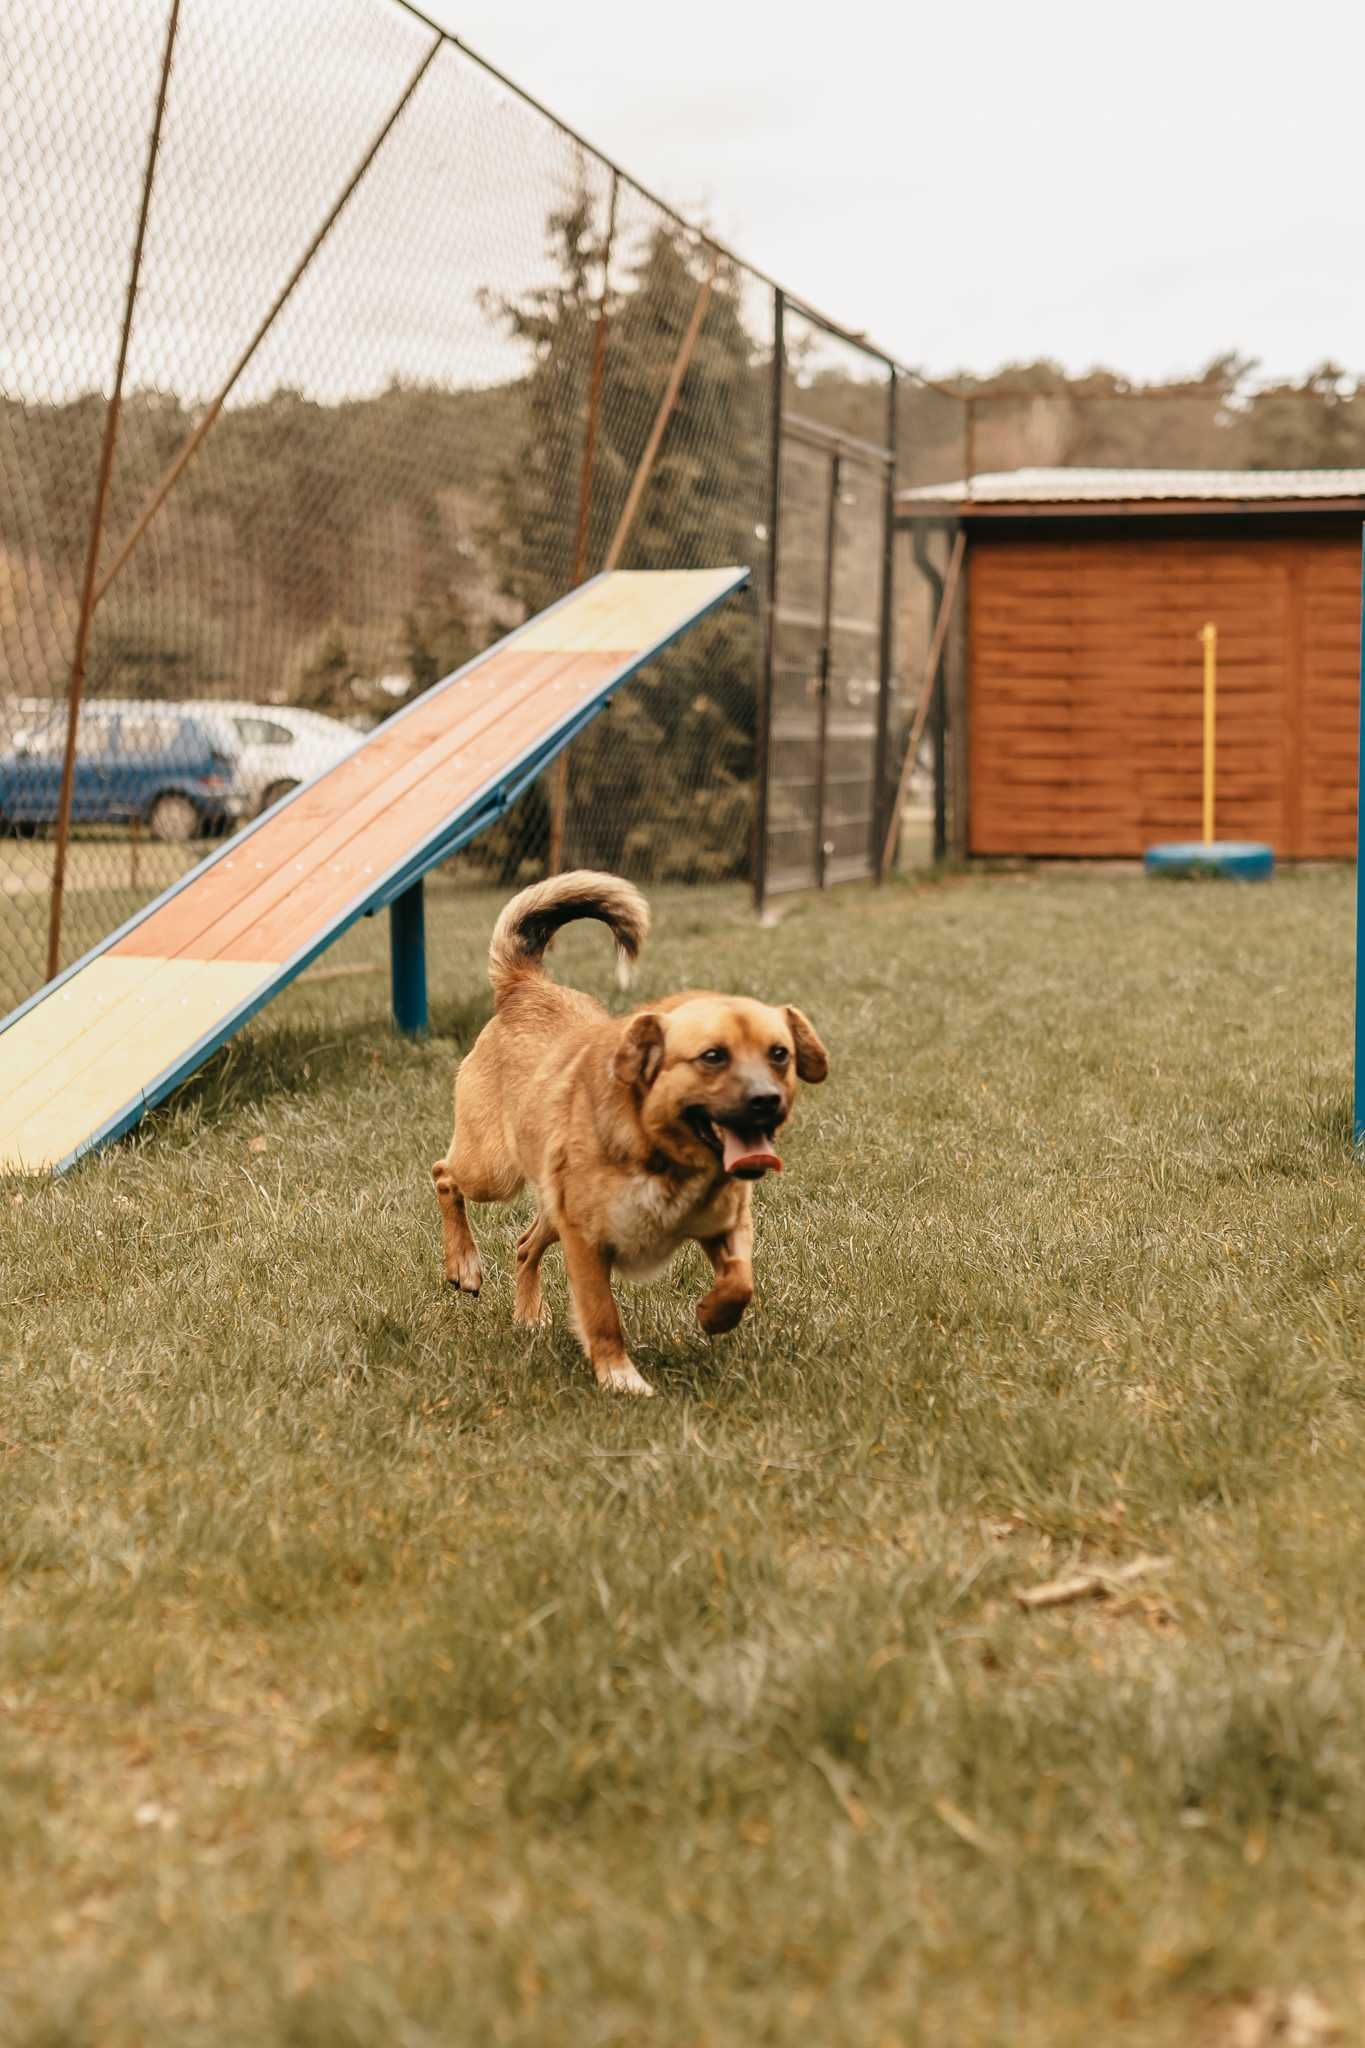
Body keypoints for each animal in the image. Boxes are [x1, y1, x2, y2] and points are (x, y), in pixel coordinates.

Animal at [431, 864, 826, 1392]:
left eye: (779, 1054)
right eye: (712, 1057)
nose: (767, 1102)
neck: (663, 1157)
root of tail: (527, 987)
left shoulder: (728, 1224)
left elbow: (740, 1280)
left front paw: (713, 1315)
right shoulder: (586, 1242)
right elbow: (602, 1315)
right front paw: (620, 1378)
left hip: (549, 1201)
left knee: (524, 1245)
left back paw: (529, 1315)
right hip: (493, 1170)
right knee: (444, 1175)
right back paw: (464, 1265)